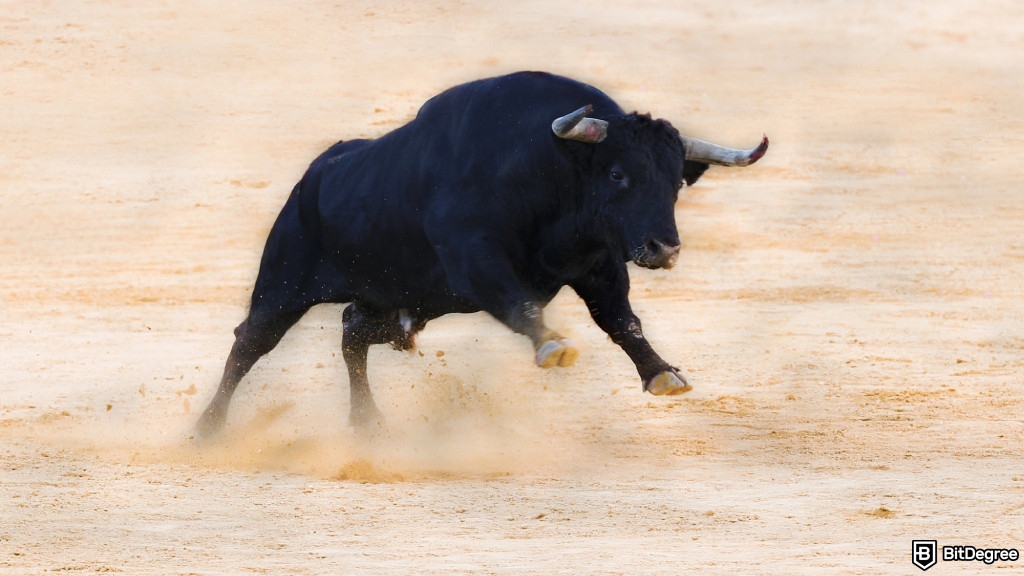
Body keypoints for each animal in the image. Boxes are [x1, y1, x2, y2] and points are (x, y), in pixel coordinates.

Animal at [195, 71, 767, 437]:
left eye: (675, 184)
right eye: (616, 173)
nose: (663, 248)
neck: (546, 169)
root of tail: (312, 176)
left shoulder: (599, 264)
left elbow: (622, 321)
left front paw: (663, 374)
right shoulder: (474, 259)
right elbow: (521, 303)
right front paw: (553, 346)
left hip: (399, 302)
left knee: (354, 332)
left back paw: (369, 423)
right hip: (283, 285)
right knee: (249, 343)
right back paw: (208, 428)